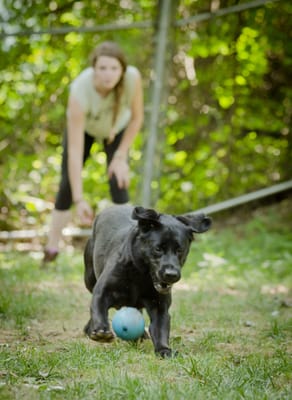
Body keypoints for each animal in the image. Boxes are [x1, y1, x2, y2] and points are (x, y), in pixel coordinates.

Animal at [83, 205, 211, 358]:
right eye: (158, 248)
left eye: (180, 250)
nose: (171, 274)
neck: (140, 276)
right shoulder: (102, 291)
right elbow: (98, 308)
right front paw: (101, 330)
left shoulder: (160, 307)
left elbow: (160, 329)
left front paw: (164, 350)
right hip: (89, 278)